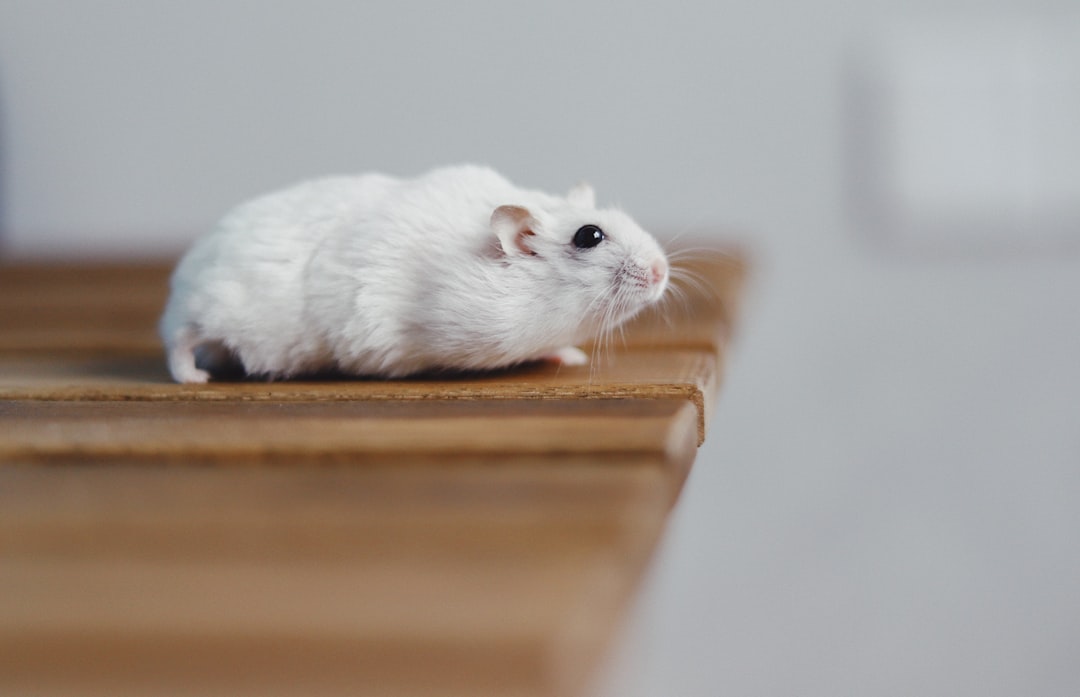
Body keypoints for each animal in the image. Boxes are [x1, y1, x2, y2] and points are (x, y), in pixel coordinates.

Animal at [158, 163, 665, 380]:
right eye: (589, 236)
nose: (662, 272)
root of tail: (184, 276)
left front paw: (570, 356)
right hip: (211, 310)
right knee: (180, 339)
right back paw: (194, 378)